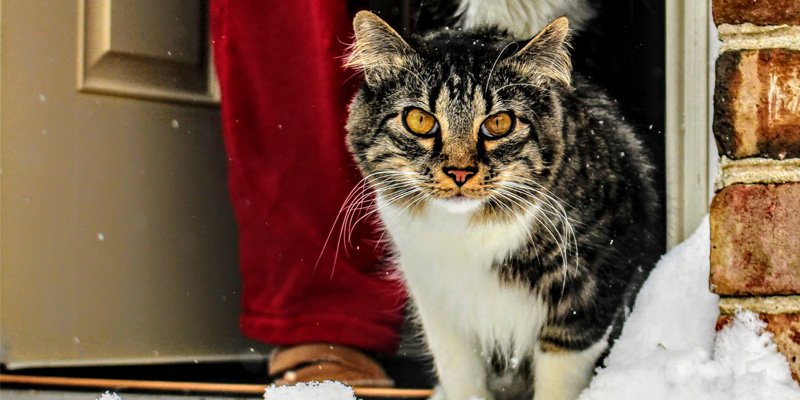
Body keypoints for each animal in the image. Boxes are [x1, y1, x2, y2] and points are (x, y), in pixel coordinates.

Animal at [342, 10, 656, 400]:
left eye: (499, 123)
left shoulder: (595, 280)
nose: (460, 172)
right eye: (419, 120)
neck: (465, 235)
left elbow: (560, 376)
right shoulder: (437, 300)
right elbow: (462, 377)